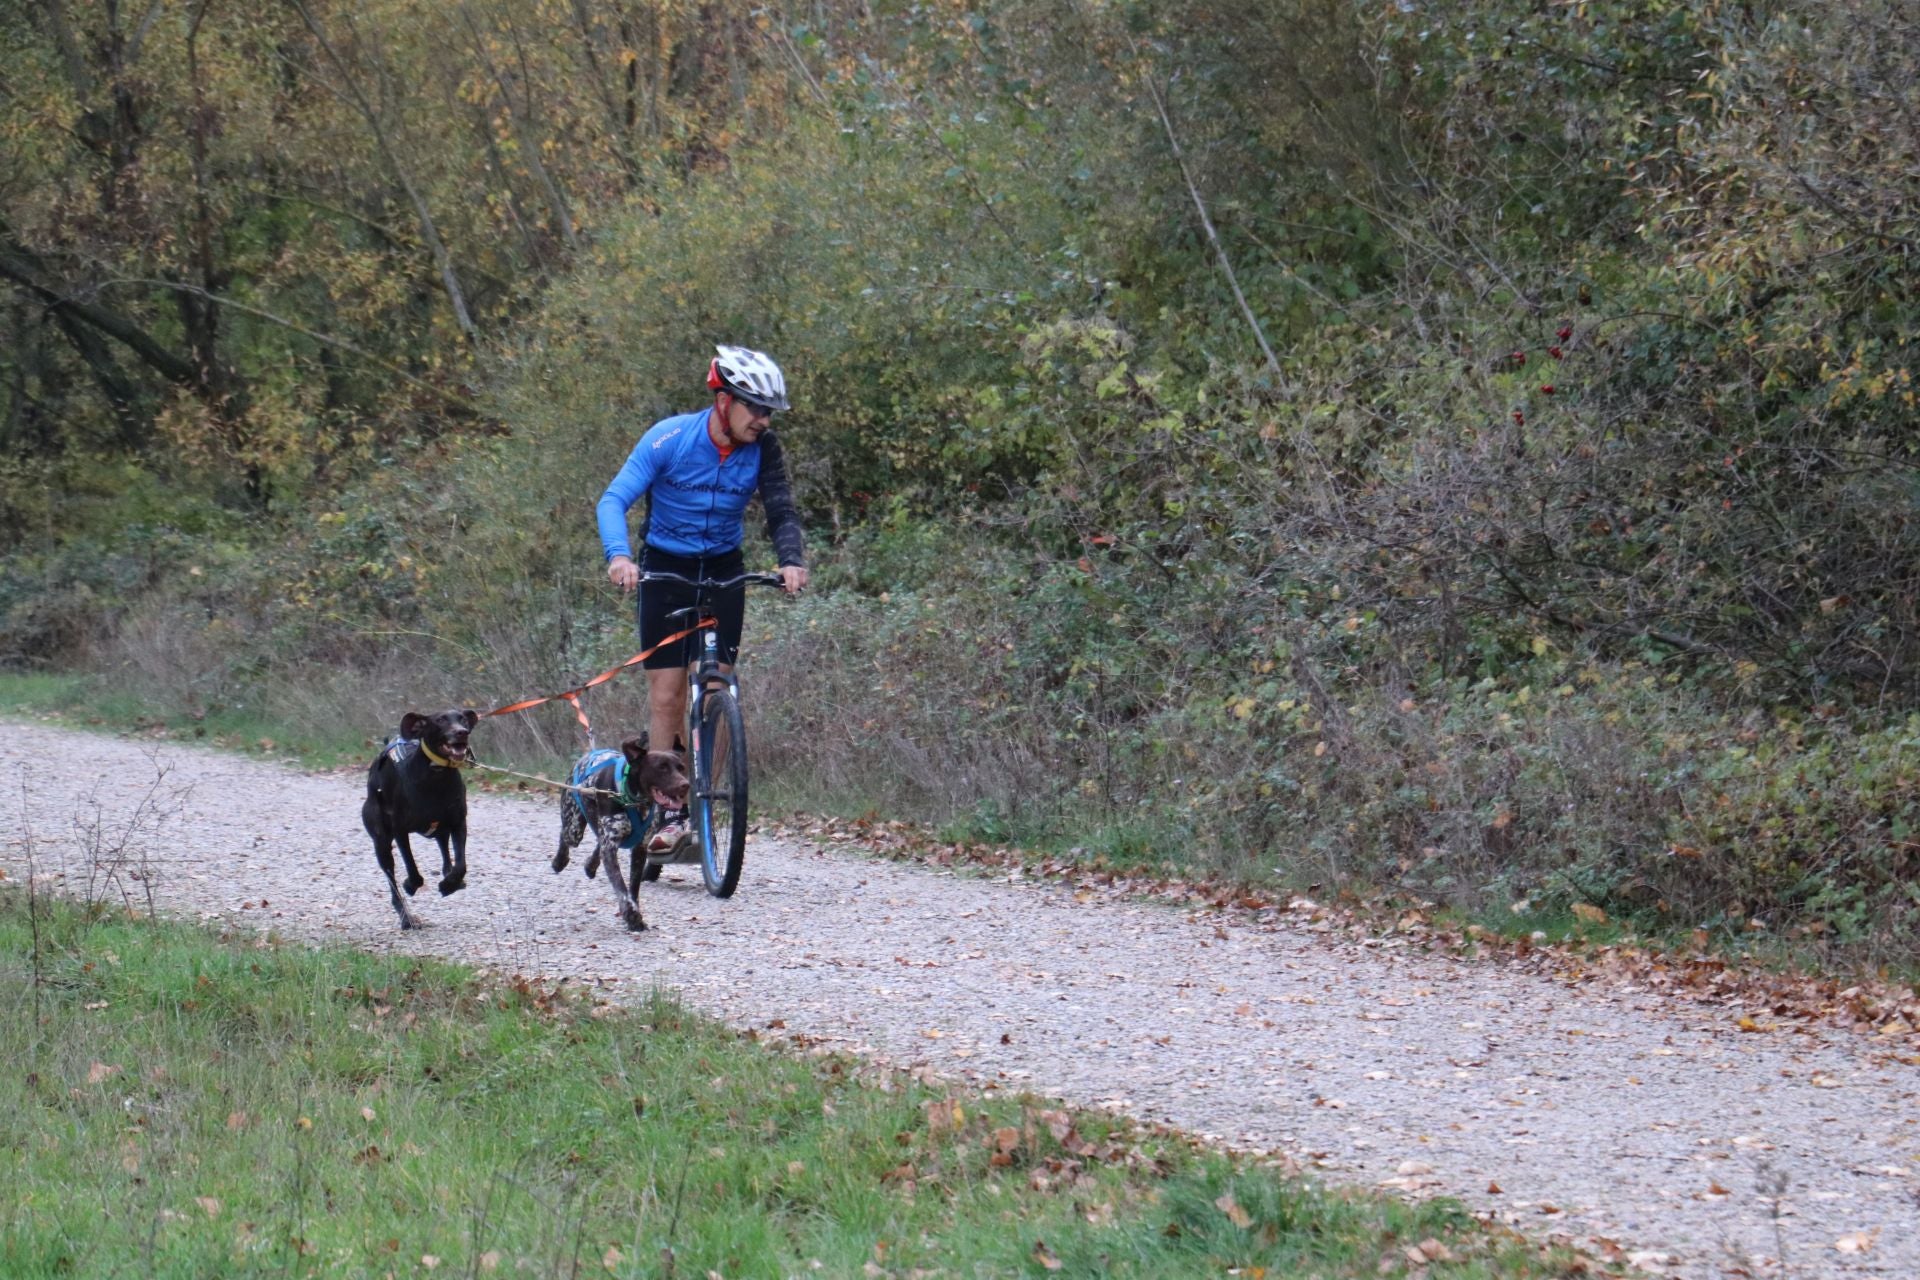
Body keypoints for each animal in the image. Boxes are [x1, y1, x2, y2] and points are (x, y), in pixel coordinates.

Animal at [360, 710, 478, 932]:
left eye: (462, 719)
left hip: (441, 829)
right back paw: (407, 918)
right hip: (381, 842)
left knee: (445, 851)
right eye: (440, 720)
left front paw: (450, 884)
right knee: (392, 880)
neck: (436, 775)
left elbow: (461, 865)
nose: (462, 732)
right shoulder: (400, 830)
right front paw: (411, 885)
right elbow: (412, 869)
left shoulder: (459, 823)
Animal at [556, 736, 691, 936]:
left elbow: (633, 888)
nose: (685, 785)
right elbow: (621, 887)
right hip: (574, 828)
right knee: (565, 835)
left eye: (681, 767)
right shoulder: (610, 846)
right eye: (662, 767)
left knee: (597, 844)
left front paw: (634, 914)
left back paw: (590, 865)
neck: (632, 797)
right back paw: (559, 861)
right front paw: (632, 916)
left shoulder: (639, 849)